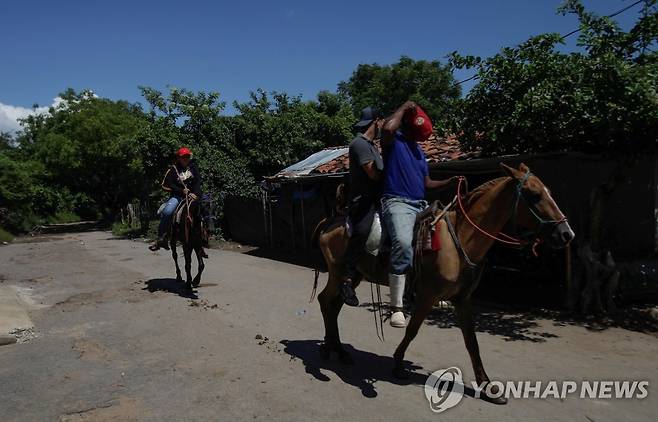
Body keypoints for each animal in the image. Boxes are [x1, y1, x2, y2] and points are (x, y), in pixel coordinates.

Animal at [314, 162, 576, 402]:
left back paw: (337, 350)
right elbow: (412, 330)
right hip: (338, 273)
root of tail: (330, 221)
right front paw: (398, 364)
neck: (460, 238)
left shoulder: (463, 299)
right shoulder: (428, 296)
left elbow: (472, 341)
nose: (567, 234)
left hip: (353, 278)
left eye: (548, 191)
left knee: (334, 306)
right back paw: (330, 350)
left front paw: (487, 386)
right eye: (534, 194)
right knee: (325, 301)